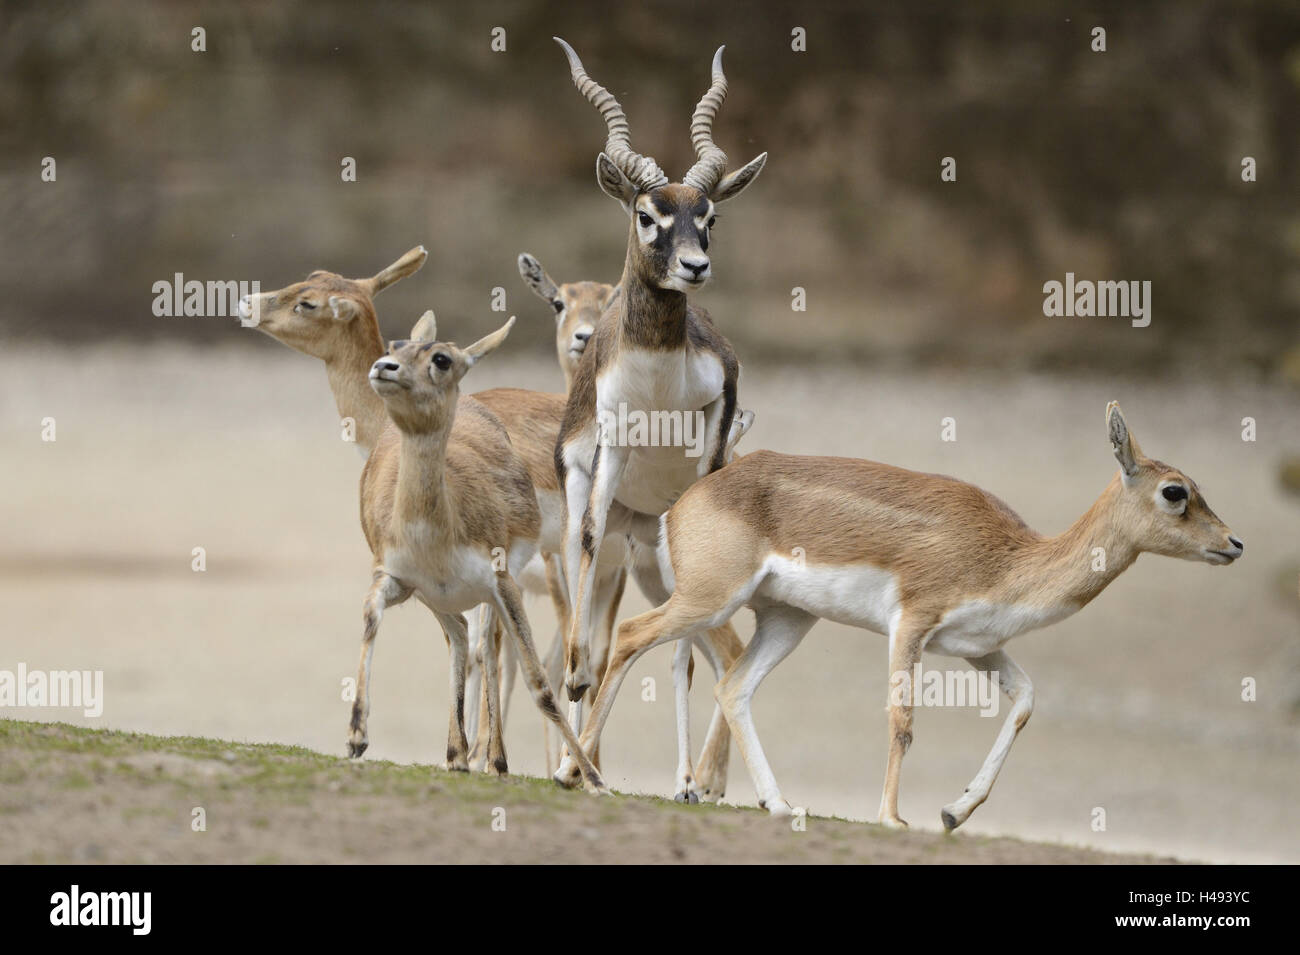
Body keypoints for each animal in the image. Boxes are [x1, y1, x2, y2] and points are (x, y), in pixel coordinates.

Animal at [351, 314, 603, 789]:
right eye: (395, 344)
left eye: (441, 359)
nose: (383, 366)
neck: (438, 528)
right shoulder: (397, 579)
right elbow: (372, 617)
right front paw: (357, 734)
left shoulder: (501, 583)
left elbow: (540, 682)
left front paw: (592, 777)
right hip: (442, 600)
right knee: (464, 641)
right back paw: (459, 753)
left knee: (486, 646)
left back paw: (494, 759)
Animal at [546, 41, 759, 779]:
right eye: (647, 215)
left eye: (709, 217)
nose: (694, 267)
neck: (661, 367)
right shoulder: (612, 440)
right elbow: (585, 556)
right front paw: (575, 681)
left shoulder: (716, 432)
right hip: (598, 506)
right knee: (585, 577)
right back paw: (572, 748)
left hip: (656, 539)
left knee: (687, 643)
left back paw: (682, 780)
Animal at [553, 402, 1242, 831]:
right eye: (1175, 492)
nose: (1233, 543)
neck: (1007, 555)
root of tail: (687, 499)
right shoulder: (911, 623)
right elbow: (903, 722)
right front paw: (893, 817)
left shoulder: (978, 647)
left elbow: (1026, 700)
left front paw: (954, 813)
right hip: (709, 598)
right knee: (631, 637)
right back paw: (582, 777)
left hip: (786, 620)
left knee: (733, 686)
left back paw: (777, 804)